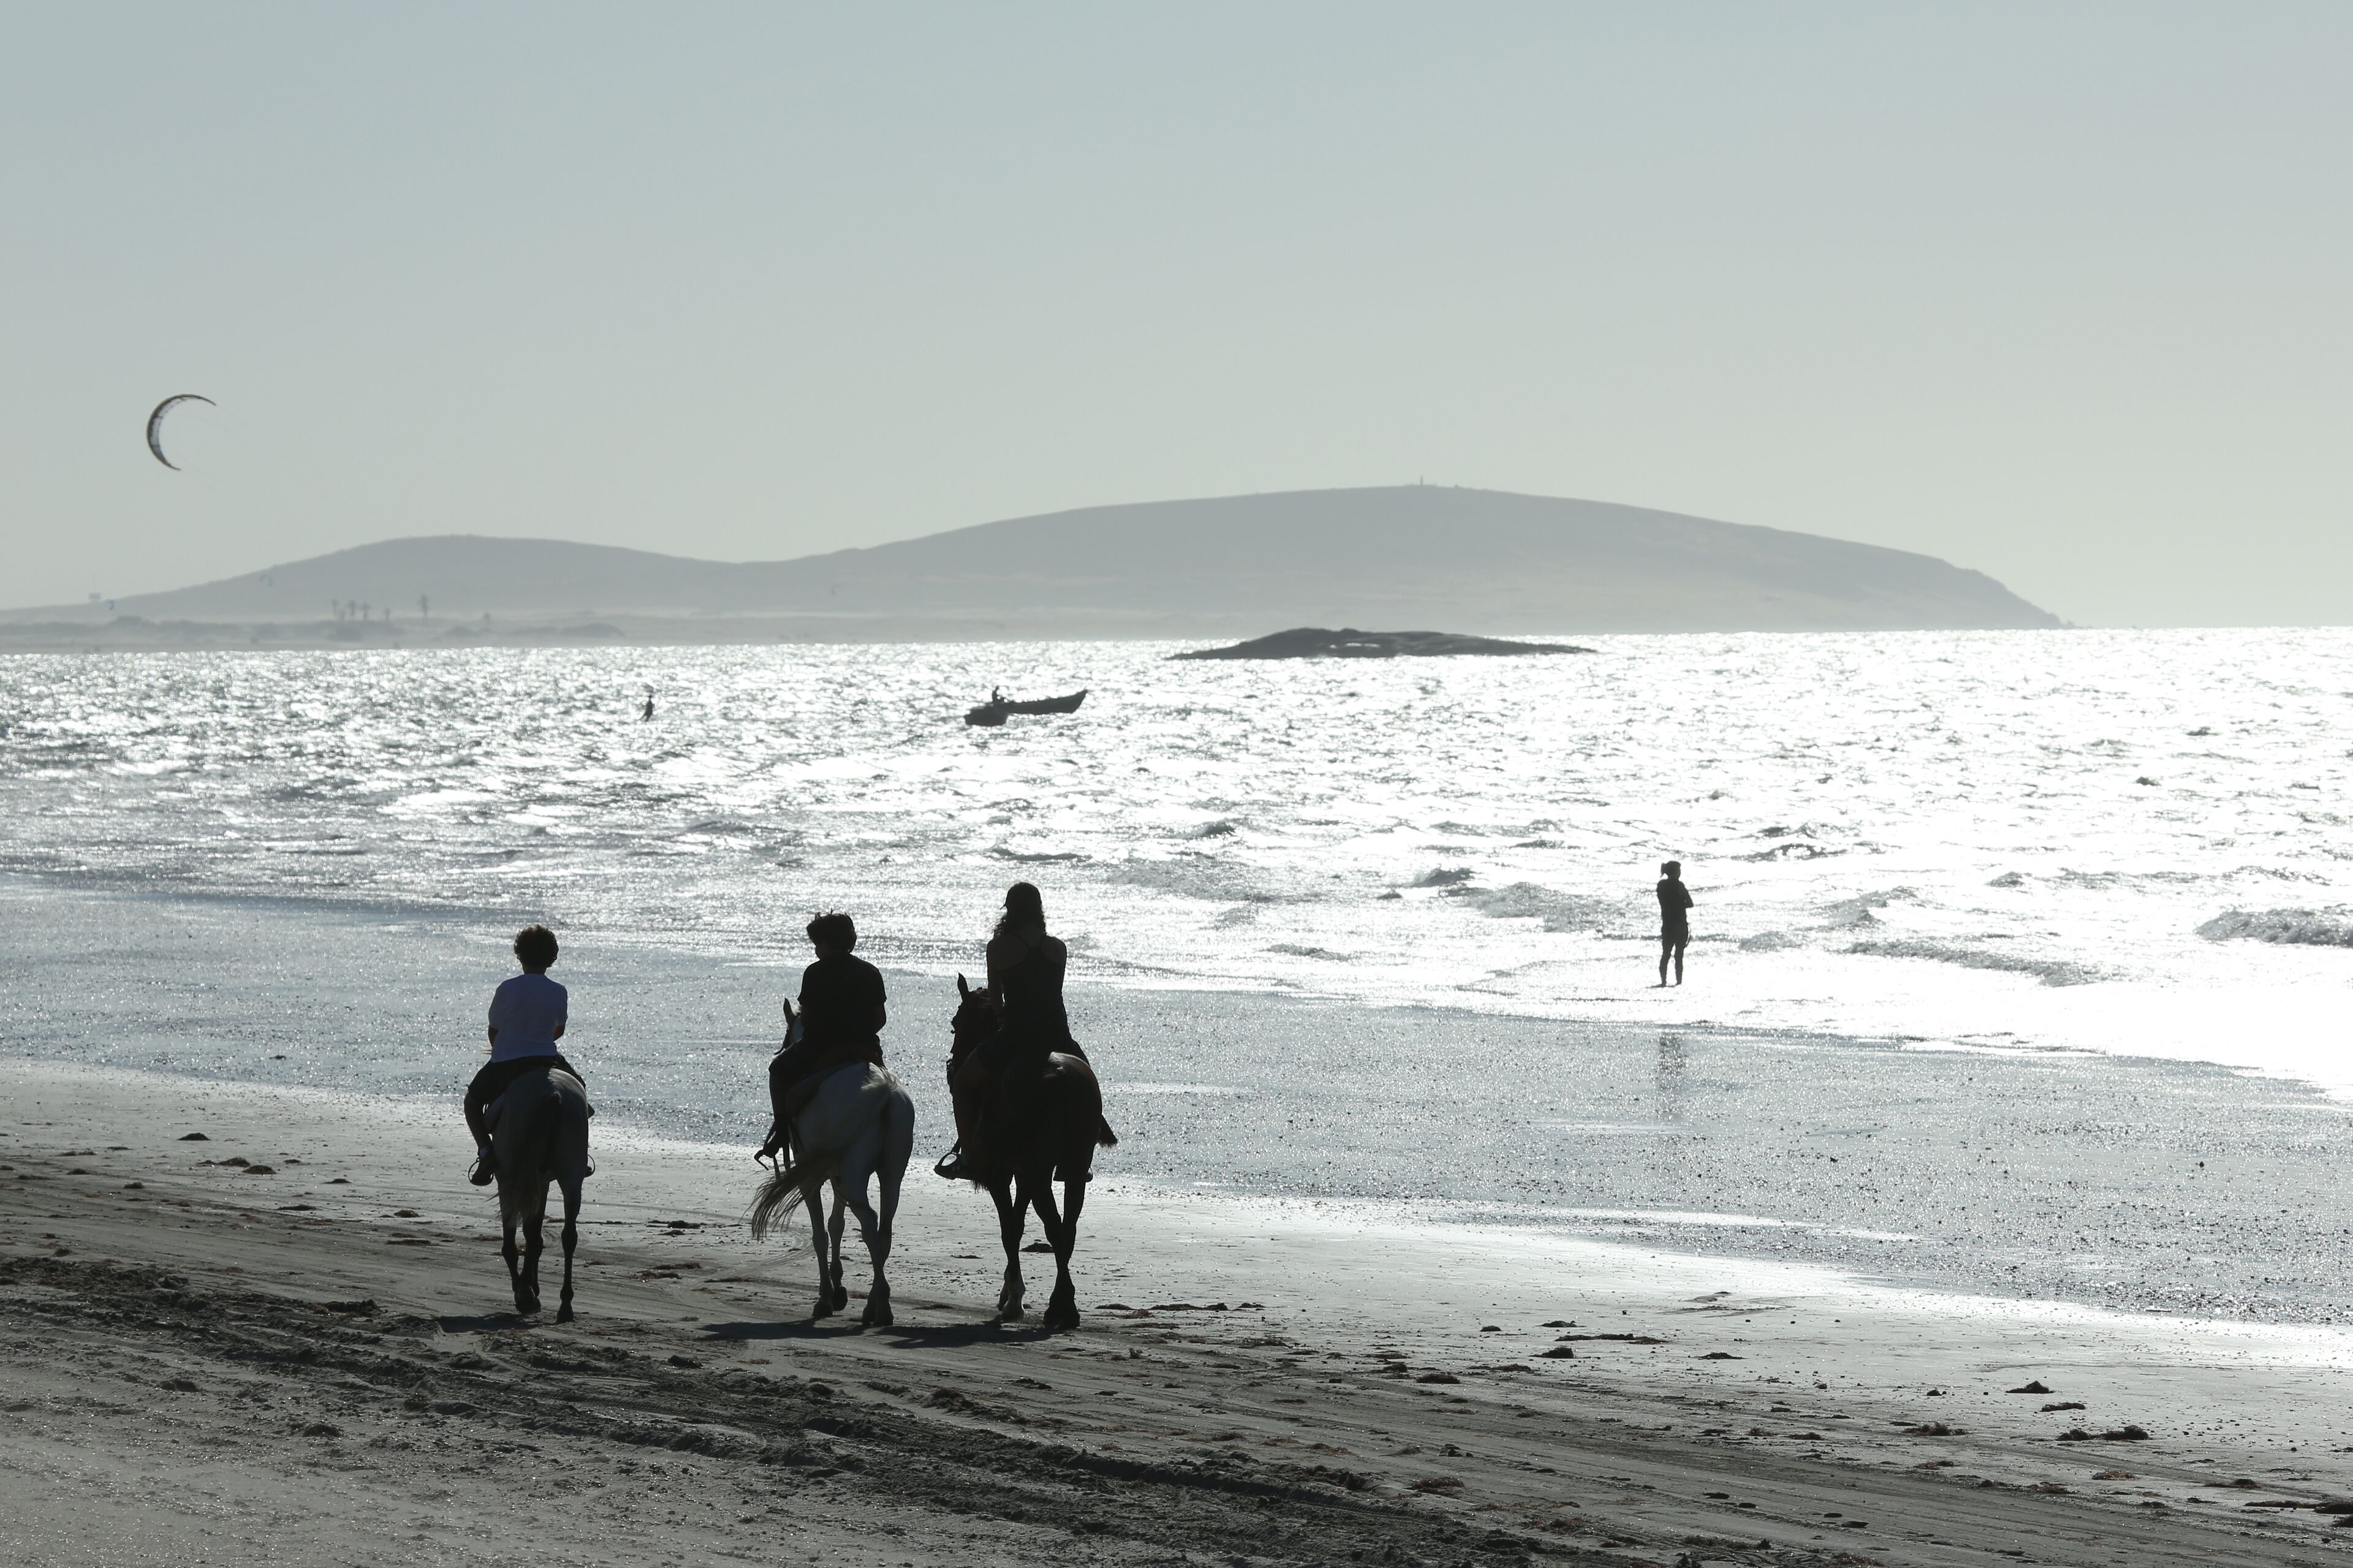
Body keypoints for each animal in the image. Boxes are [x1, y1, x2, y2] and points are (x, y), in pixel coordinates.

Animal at [485, 1064, 592, 1323]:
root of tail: (553, 1093)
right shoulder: (541, 1183)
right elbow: (534, 1234)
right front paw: (532, 1286)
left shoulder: (524, 1182)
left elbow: (526, 1234)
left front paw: (527, 1290)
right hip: (571, 1175)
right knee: (569, 1236)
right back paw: (565, 1305)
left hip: (511, 1178)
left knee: (513, 1240)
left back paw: (528, 1296)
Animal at [748, 1018, 915, 1327]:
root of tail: (883, 1091)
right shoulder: (837, 1176)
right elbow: (836, 1225)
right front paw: (838, 1290)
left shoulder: (811, 1179)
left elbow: (820, 1235)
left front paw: (826, 1297)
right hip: (890, 1175)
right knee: (883, 1232)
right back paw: (876, 1304)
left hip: (853, 1175)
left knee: (869, 1224)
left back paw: (880, 1306)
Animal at [948, 974, 1117, 1331]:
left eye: (956, 1024)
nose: (953, 1064)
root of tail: (1062, 1079)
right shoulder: (1023, 1173)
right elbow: (1018, 1222)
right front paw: (1010, 1292)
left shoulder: (1001, 1175)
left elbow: (1009, 1229)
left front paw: (1014, 1300)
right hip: (1073, 1169)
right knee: (1067, 1229)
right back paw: (1064, 1305)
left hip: (1039, 1174)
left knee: (1055, 1228)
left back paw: (1059, 1309)